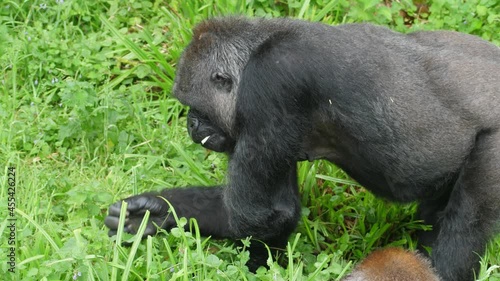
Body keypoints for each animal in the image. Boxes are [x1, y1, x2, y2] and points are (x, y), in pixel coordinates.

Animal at [105, 17, 500, 280]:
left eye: (195, 107)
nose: (191, 124)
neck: (259, 47)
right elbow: (275, 206)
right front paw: (156, 213)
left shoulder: (272, 83)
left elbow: (262, 214)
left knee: (465, 225)